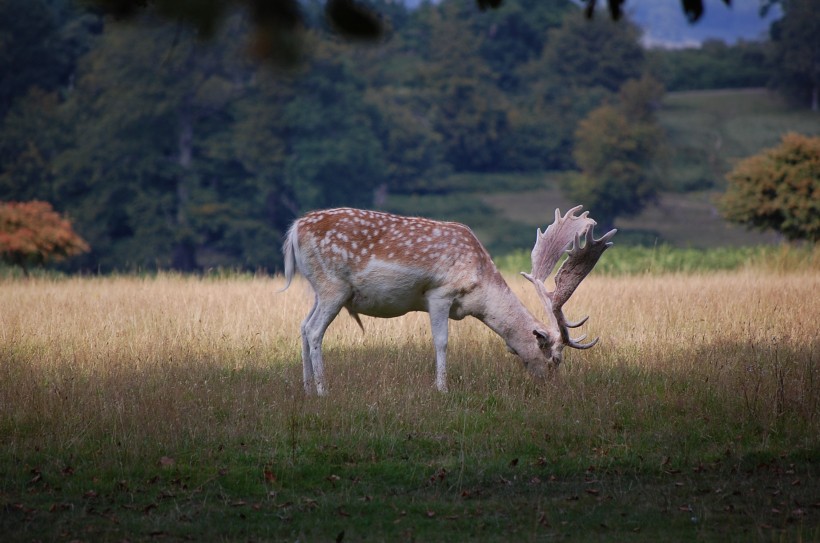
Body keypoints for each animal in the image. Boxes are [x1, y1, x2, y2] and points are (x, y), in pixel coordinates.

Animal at [280, 205, 616, 396]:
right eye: (556, 358)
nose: (556, 389)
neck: (479, 289)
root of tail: (294, 229)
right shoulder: (440, 293)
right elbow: (441, 341)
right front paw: (442, 388)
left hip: (319, 288)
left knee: (302, 326)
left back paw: (307, 388)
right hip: (333, 286)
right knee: (314, 331)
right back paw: (323, 390)